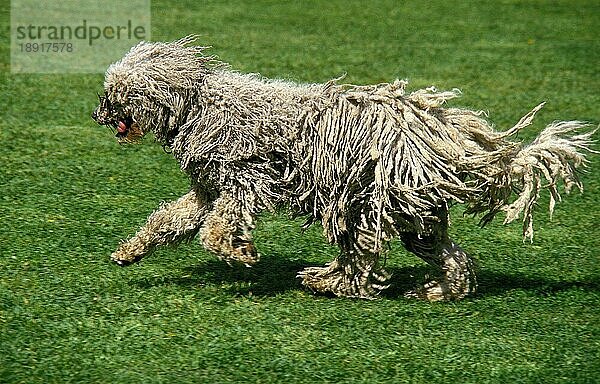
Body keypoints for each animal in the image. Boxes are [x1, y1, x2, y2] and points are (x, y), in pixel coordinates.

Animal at [94, 36, 596, 300]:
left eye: (121, 91)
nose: (99, 111)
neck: (199, 104)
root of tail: (445, 134)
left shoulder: (247, 178)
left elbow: (218, 228)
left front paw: (241, 252)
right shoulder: (207, 189)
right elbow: (171, 219)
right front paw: (130, 251)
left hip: (369, 202)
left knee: (362, 257)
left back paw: (328, 280)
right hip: (414, 213)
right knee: (448, 255)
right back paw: (441, 290)